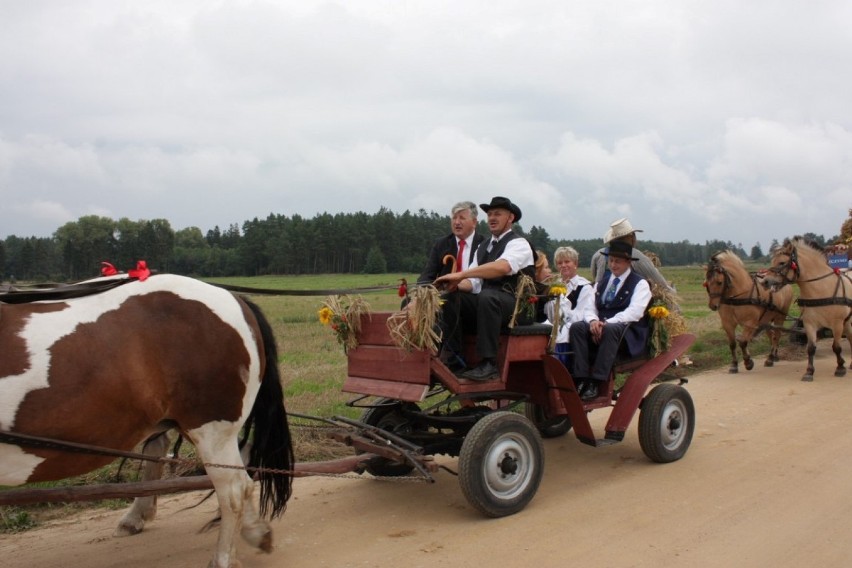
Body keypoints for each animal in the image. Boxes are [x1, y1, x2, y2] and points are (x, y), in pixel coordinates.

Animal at [764, 235, 852, 382]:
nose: (764, 281)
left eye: (782, 263)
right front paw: (809, 372)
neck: (822, 289)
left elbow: (836, 347)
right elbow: (810, 348)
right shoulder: (809, 323)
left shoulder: (837, 324)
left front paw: (840, 367)